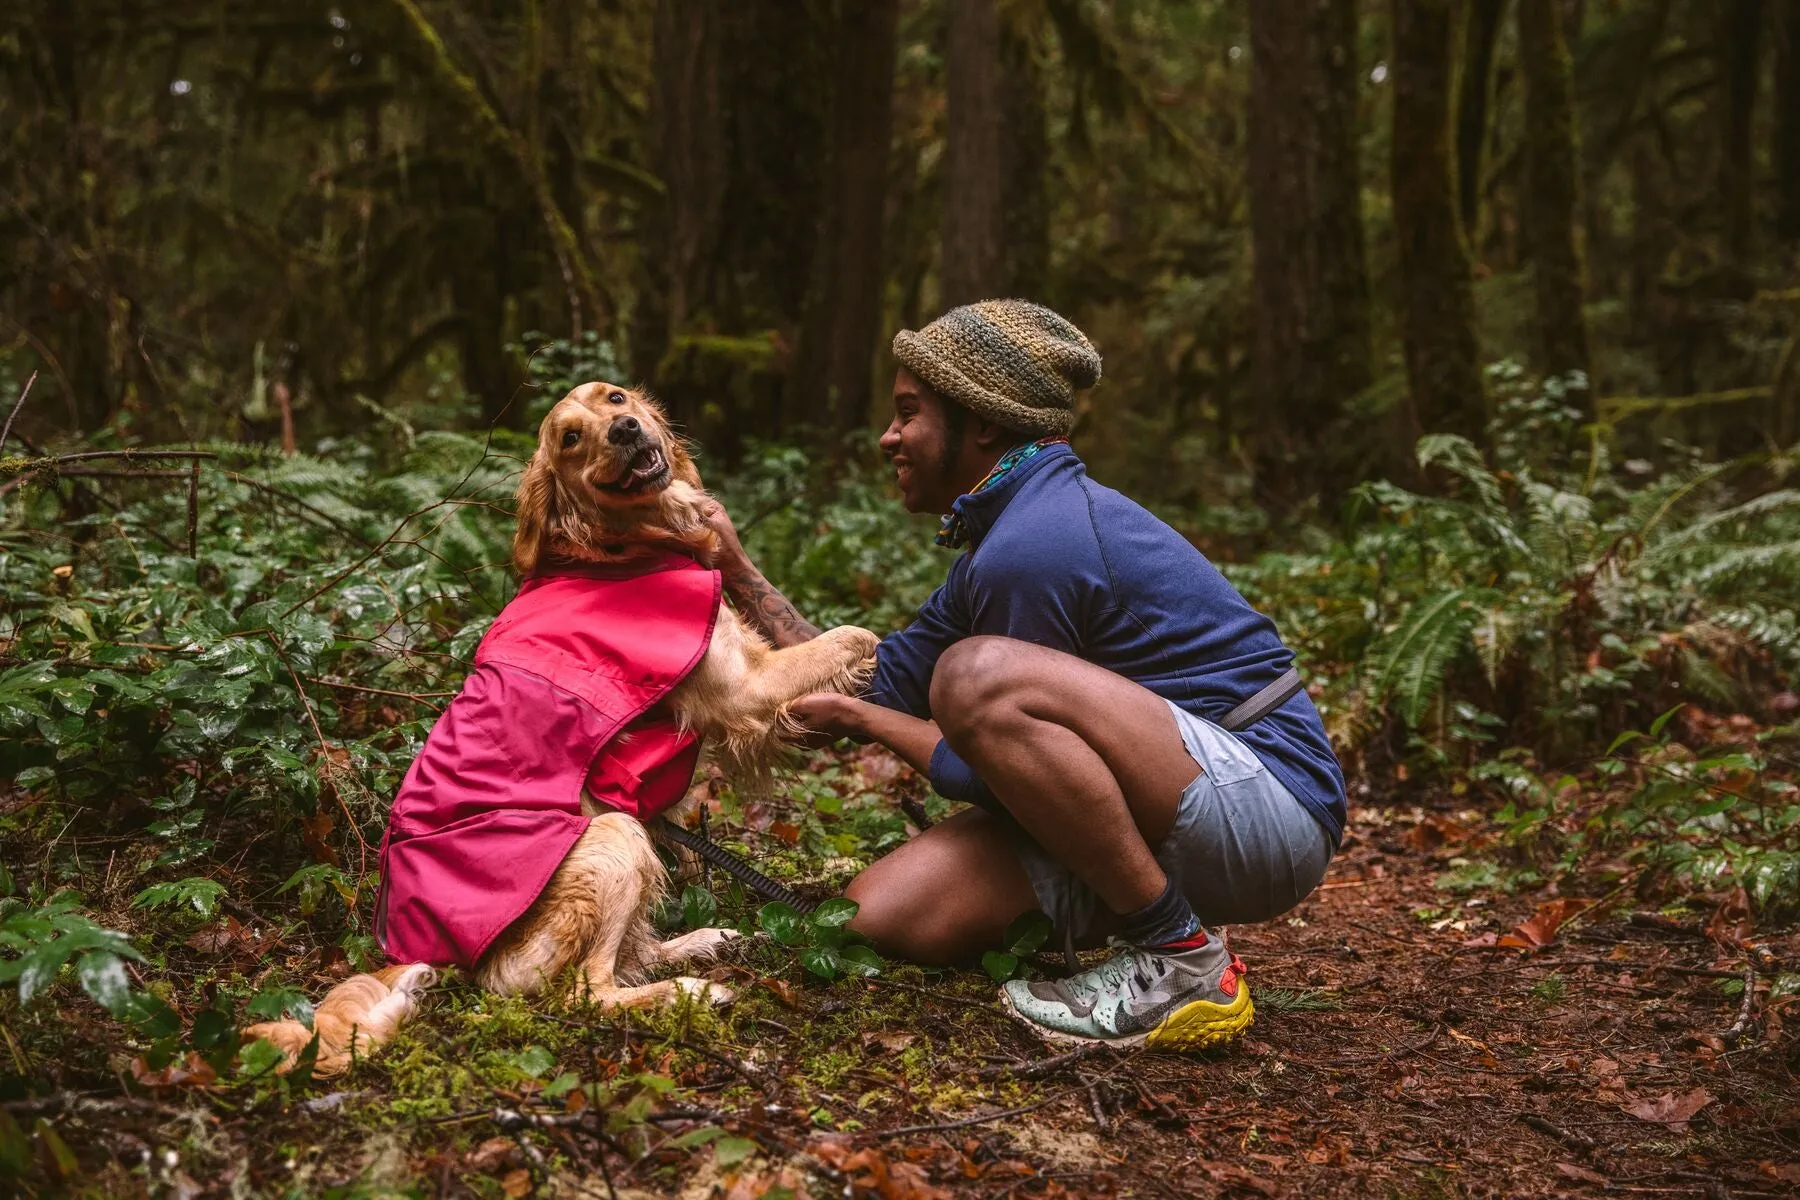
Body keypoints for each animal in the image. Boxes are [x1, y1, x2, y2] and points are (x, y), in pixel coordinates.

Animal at [244, 379, 878, 1072]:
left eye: (615, 397)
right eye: (571, 438)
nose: (625, 430)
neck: (616, 547)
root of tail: (425, 949)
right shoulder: (743, 685)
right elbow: (854, 636)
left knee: (629, 955)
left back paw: (702, 940)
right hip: (611, 838)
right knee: (587, 990)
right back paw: (690, 990)